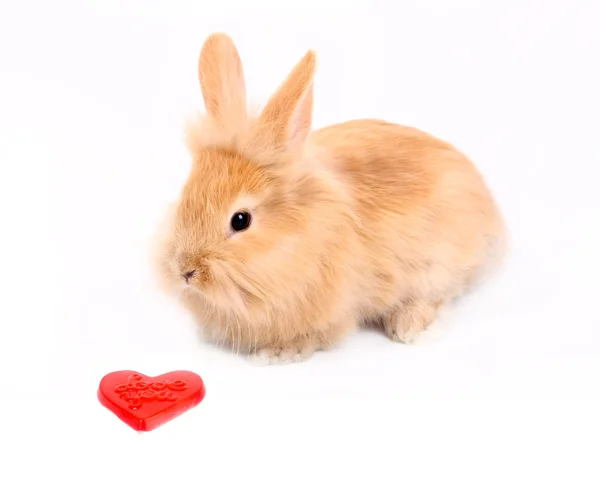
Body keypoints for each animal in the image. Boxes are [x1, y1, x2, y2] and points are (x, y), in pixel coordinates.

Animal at [154, 31, 506, 366]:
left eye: (240, 220)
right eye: (185, 197)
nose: (185, 271)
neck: (297, 238)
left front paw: (276, 354)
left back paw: (409, 326)